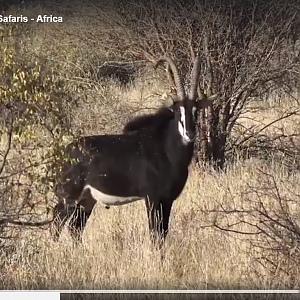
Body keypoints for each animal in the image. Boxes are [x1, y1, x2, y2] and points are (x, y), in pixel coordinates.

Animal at [51, 55, 216, 247]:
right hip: (69, 196)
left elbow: (164, 232)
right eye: (177, 111)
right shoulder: (152, 198)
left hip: (87, 199)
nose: (190, 134)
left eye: (196, 110)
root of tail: (63, 153)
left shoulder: (167, 199)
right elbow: (155, 233)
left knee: (75, 228)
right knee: (57, 223)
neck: (168, 152)